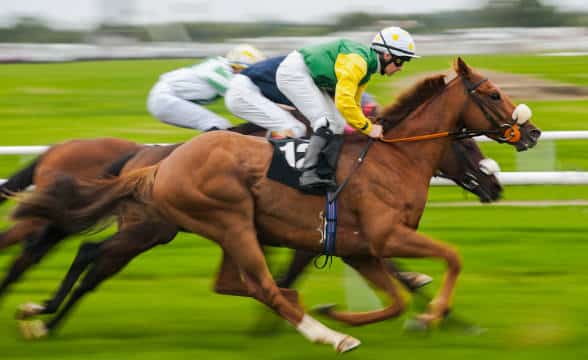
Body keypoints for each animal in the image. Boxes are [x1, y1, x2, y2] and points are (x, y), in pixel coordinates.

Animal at [13, 59, 540, 352]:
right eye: (493, 93)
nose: (532, 132)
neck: (393, 157)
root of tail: (159, 163)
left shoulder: (358, 247)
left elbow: (394, 297)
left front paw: (371, 312)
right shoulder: (384, 236)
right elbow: (451, 257)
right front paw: (428, 316)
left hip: (209, 228)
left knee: (228, 280)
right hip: (217, 220)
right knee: (258, 284)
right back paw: (329, 336)